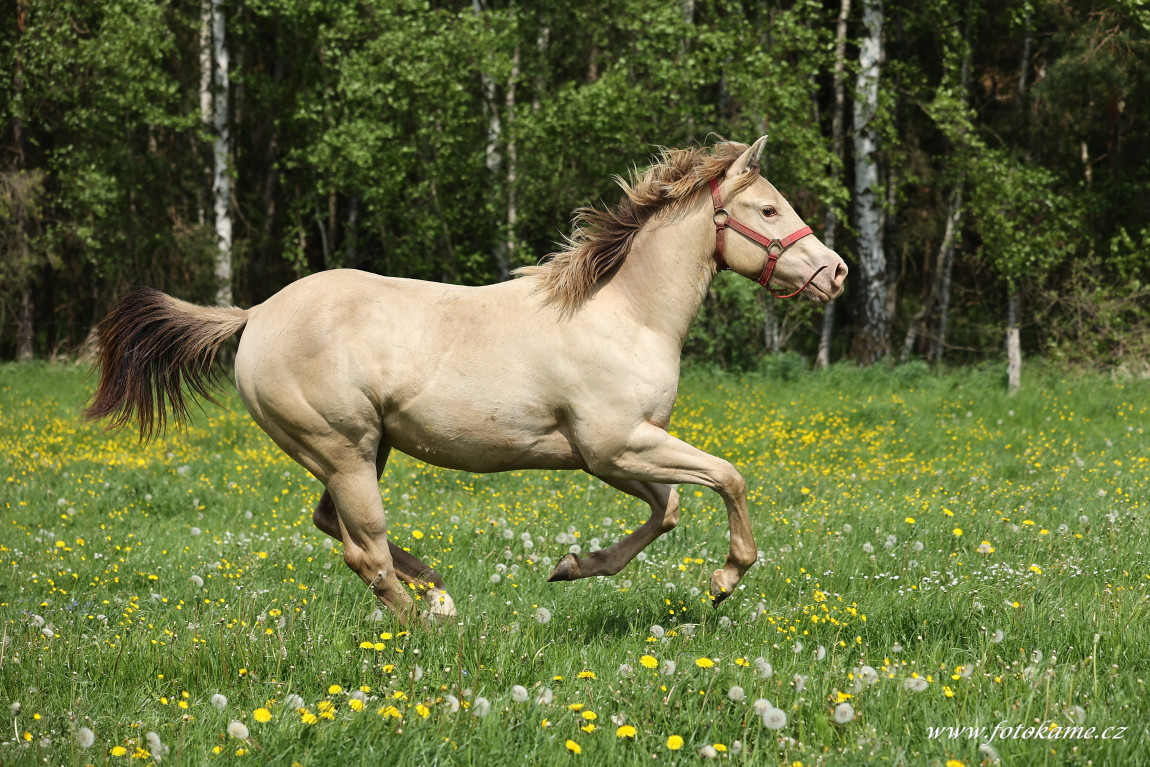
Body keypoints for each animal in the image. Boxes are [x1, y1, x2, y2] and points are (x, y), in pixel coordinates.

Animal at [85, 137, 846, 625]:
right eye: (769, 210)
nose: (835, 272)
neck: (626, 314)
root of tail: (255, 316)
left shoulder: (610, 455)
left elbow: (668, 510)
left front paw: (574, 565)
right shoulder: (616, 445)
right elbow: (727, 478)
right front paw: (724, 579)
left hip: (365, 451)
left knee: (334, 525)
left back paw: (440, 597)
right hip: (343, 450)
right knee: (364, 550)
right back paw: (424, 628)